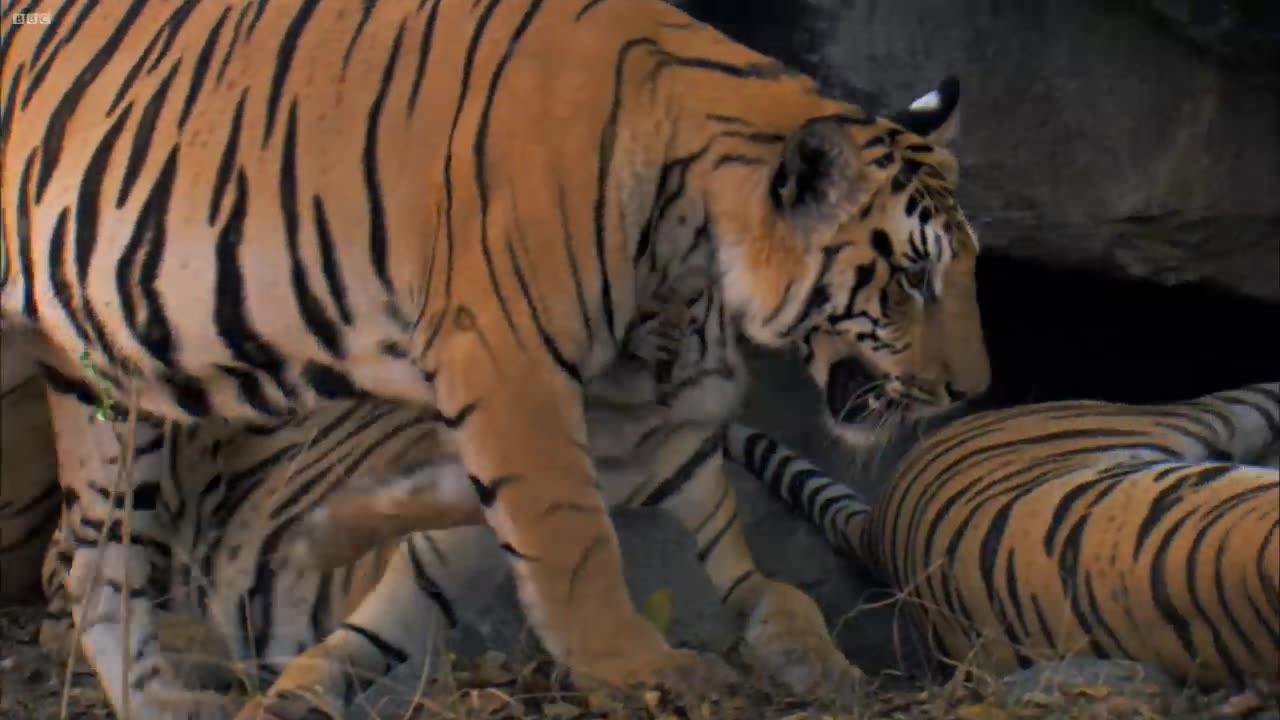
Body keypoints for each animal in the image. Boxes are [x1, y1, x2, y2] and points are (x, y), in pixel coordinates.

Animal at [0, 0, 988, 707]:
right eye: (912, 278)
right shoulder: (510, 365)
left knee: (97, 561)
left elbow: (772, 593)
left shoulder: (657, 463)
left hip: (106, 389)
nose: (971, 388)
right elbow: (569, 539)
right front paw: (640, 668)